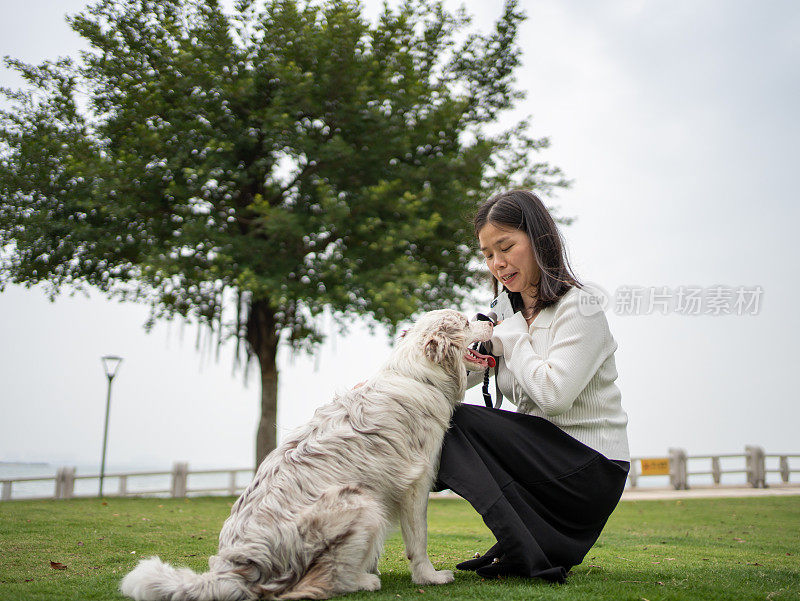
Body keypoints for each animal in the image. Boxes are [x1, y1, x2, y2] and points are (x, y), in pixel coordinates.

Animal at [120, 310, 494, 600]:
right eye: (463, 320)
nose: (486, 316)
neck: (417, 376)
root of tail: (234, 567)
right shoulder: (415, 487)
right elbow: (419, 541)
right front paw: (429, 577)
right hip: (362, 502)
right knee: (327, 579)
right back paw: (363, 581)